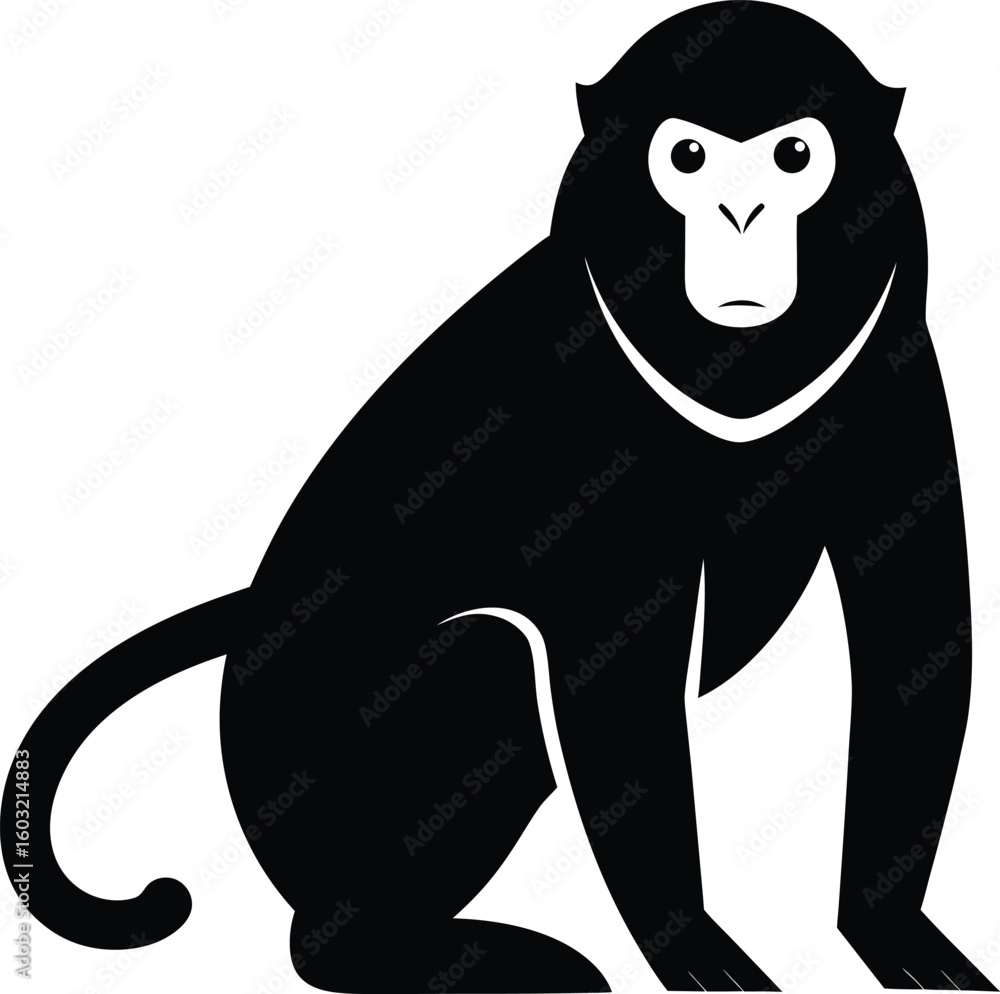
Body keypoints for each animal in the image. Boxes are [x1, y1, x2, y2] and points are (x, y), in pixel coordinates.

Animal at [4, 3, 994, 991]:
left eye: (794, 156)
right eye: (687, 157)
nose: (741, 213)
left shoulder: (895, 374)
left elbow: (915, 633)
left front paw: (893, 933)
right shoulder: (595, 457)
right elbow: (616, 692)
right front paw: (698, 955)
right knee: (479, 663)